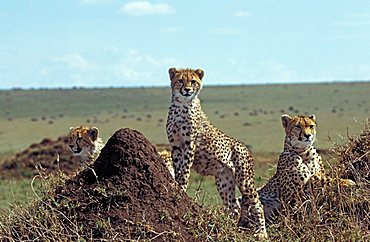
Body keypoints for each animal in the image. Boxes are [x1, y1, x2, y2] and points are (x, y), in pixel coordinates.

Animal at [166, 67, 268, 237]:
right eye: (180, 80)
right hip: (223, 181)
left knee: (257, 203)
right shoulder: (175, 146)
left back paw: (262, 233)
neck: (182, 105)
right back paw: (229, 228)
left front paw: (181, 189)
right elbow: (178, 169)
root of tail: (246, 148)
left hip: (244, 180)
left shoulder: (189, 145)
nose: (187, 90)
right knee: (233, 207)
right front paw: (176, 183)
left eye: (193, 81)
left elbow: (185, 172)